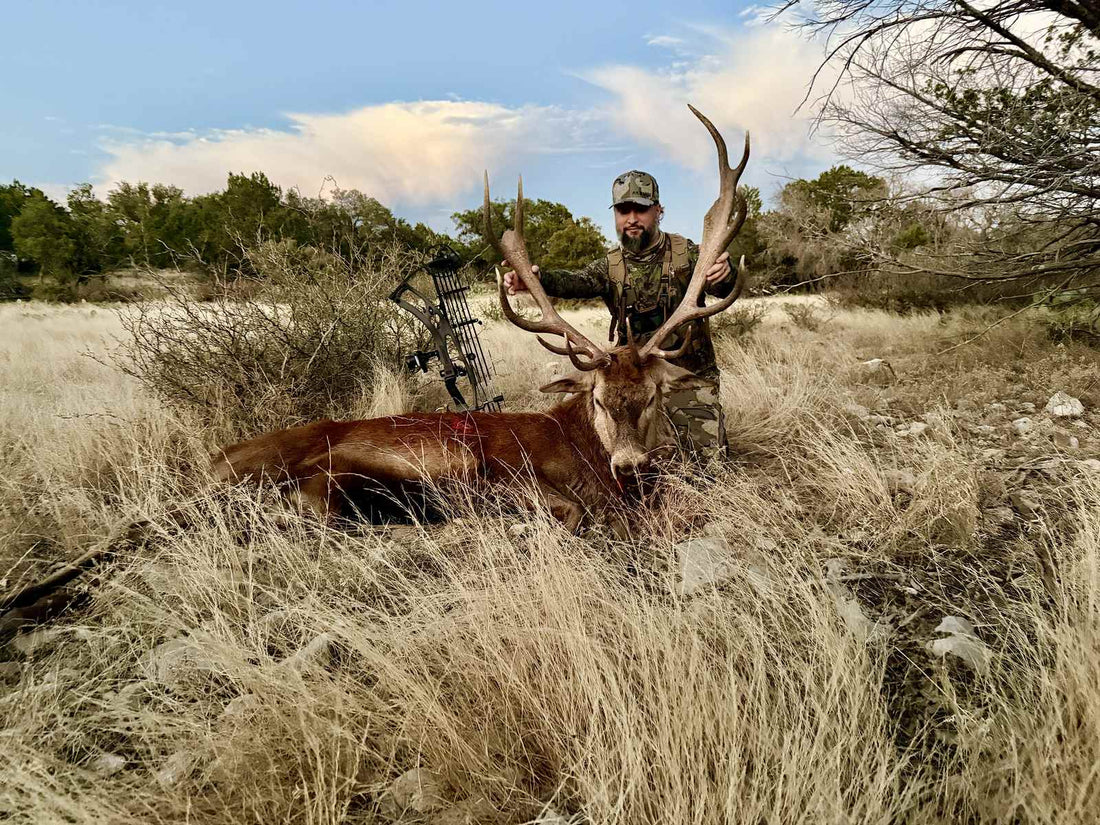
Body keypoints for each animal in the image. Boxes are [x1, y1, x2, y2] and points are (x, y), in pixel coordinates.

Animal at [211, 105, 750, 531]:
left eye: (652, 396)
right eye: (598, 398)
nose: (630, 465)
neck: (582, 455)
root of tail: (211, 465)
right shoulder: (511, 473)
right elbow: (571, 510)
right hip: (366, 472)